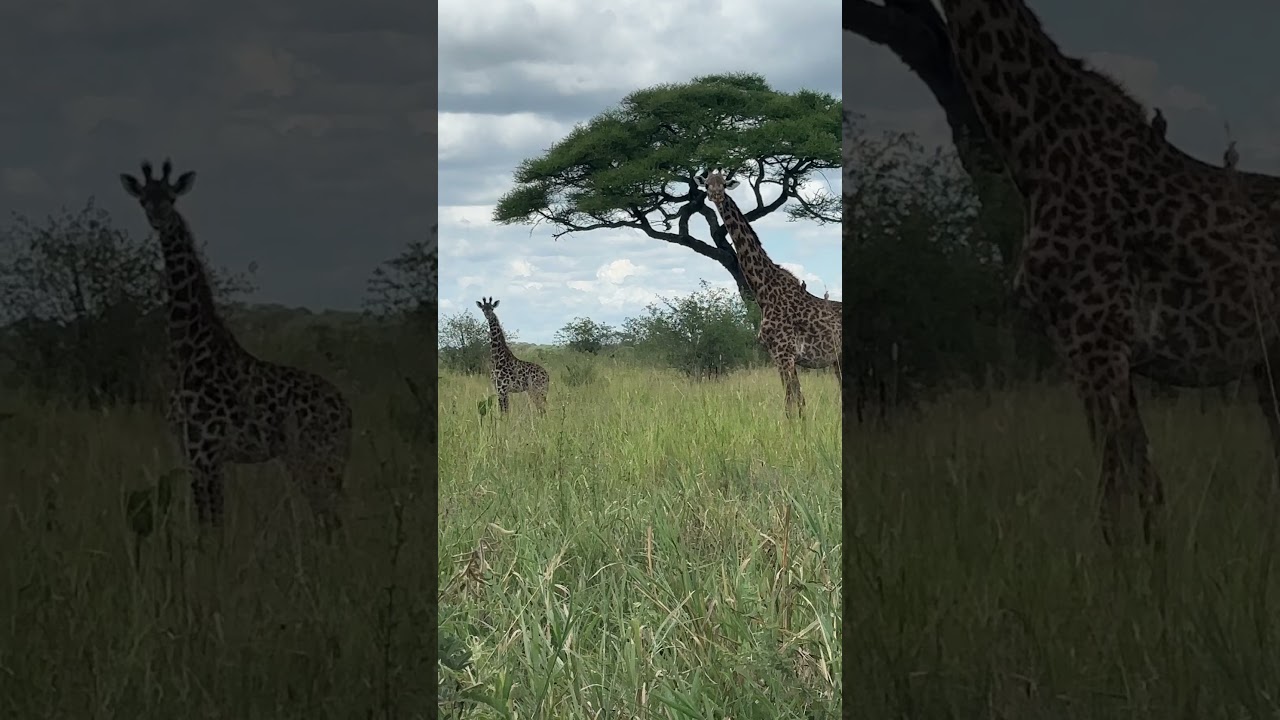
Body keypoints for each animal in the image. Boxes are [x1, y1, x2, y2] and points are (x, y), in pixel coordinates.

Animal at [119, 159, 352, 538]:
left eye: (170, 197)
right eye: (143, 199)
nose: (158, 217)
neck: (187, 349)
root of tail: (347, 410)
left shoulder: (207, 451)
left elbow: (212, 527)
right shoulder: (193, 453)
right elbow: (211, 524)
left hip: (316, 455)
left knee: (330, 517)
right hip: (316, 458)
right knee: (328, 516)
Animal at [696, 170, 842, 417]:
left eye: (724, 183)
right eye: (707, 184)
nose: (715, 195)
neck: (764, 290)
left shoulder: (784, 354)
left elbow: (791, 403)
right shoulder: (780, 356)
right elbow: (798, 401)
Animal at [938, 0, 1280, 544]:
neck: (1032, 141)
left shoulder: (1099, 341)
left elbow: (1113, 492)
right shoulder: (1087, 350)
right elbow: (1145, 483)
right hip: (1268, 365)